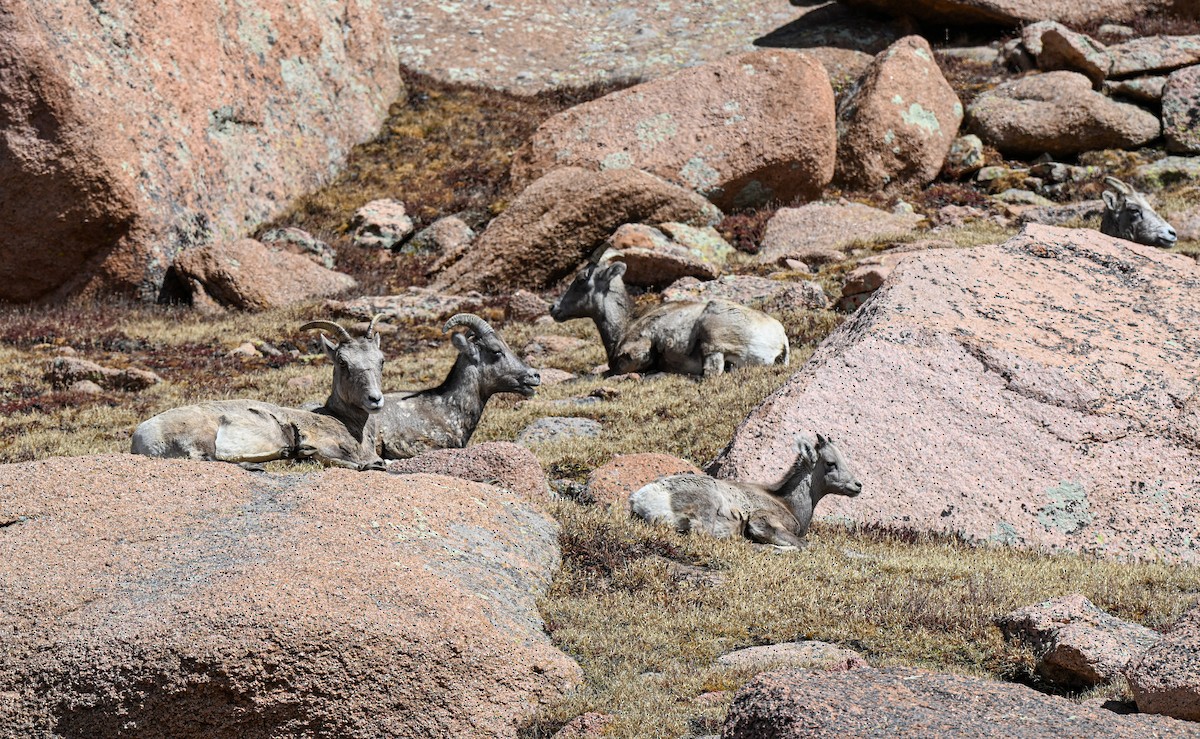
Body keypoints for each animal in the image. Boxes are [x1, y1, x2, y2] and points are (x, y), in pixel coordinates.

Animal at [130, 317, 386, 471]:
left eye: (381, 360)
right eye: (343, 362)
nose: (375, 399)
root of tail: (140, 438)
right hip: (203, 436)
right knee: (210, 459)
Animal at [550, 261, 789, 377]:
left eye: (581, 279)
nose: (554, 308)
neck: (624, 327)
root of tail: (780, 341)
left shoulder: (636, 353)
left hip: (712, 338)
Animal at [628, 434, 862, 549]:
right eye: (830, 463)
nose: (858, 485)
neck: (787, 503)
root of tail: (641, 499)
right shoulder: (764, 522)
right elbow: (805, 545)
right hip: (707, 507)